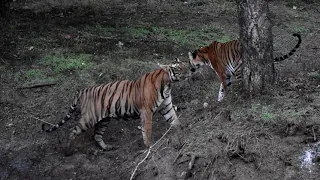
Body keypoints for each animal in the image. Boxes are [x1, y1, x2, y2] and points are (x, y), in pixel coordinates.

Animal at [42, 58, 188, 155]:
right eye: (177, 67)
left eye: (184, 64)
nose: (189, 70)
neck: (167, 84)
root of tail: (83, 90)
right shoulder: (146, 112)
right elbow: (147, 131)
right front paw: (150, 147)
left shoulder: (166, 107)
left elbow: (175, 121)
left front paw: (182, 132)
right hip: (89, 119)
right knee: (73, 131)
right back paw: (67, 150)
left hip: (103, 120)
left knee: (96, 135)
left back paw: (106, 148)